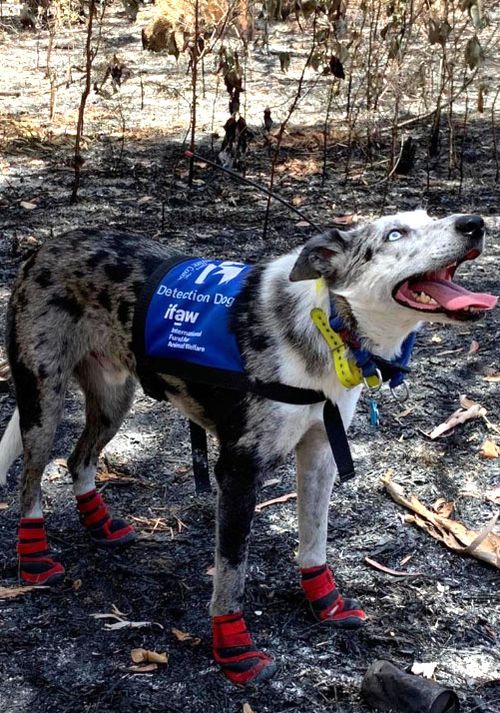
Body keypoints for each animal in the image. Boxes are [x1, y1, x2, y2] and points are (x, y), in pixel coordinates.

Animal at [0, 210, 496, 684]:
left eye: (431, 217)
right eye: (395, 234)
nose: (474, 224)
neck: (328, 326)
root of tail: (45, 246)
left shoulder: (320, 454)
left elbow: (314, 542)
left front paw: (326, 604)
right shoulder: (238, 472)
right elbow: (231, 572)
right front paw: (235, 650)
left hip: (113, 398)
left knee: (77, 459)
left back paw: (100, 524)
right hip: (43, 401)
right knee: (31, 480)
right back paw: (36, 559)